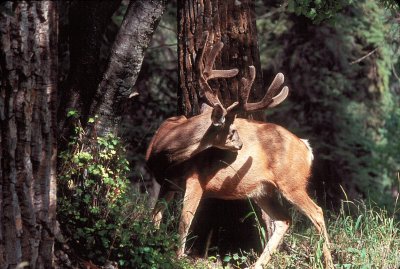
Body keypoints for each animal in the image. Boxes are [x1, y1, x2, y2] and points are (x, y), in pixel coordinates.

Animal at [147, 32, 334, 266]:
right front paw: (151, 244)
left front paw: (177, 258)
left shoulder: (196, 180)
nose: (240, 145)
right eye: (231, 130)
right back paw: (258, 264)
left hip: (292, 183)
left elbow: (184, 221)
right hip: (263, 190)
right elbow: (155, 216)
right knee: (284, 219)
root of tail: (306, 147)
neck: (165, 148)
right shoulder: (167, 183)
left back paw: (329, 262)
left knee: (317, 213)